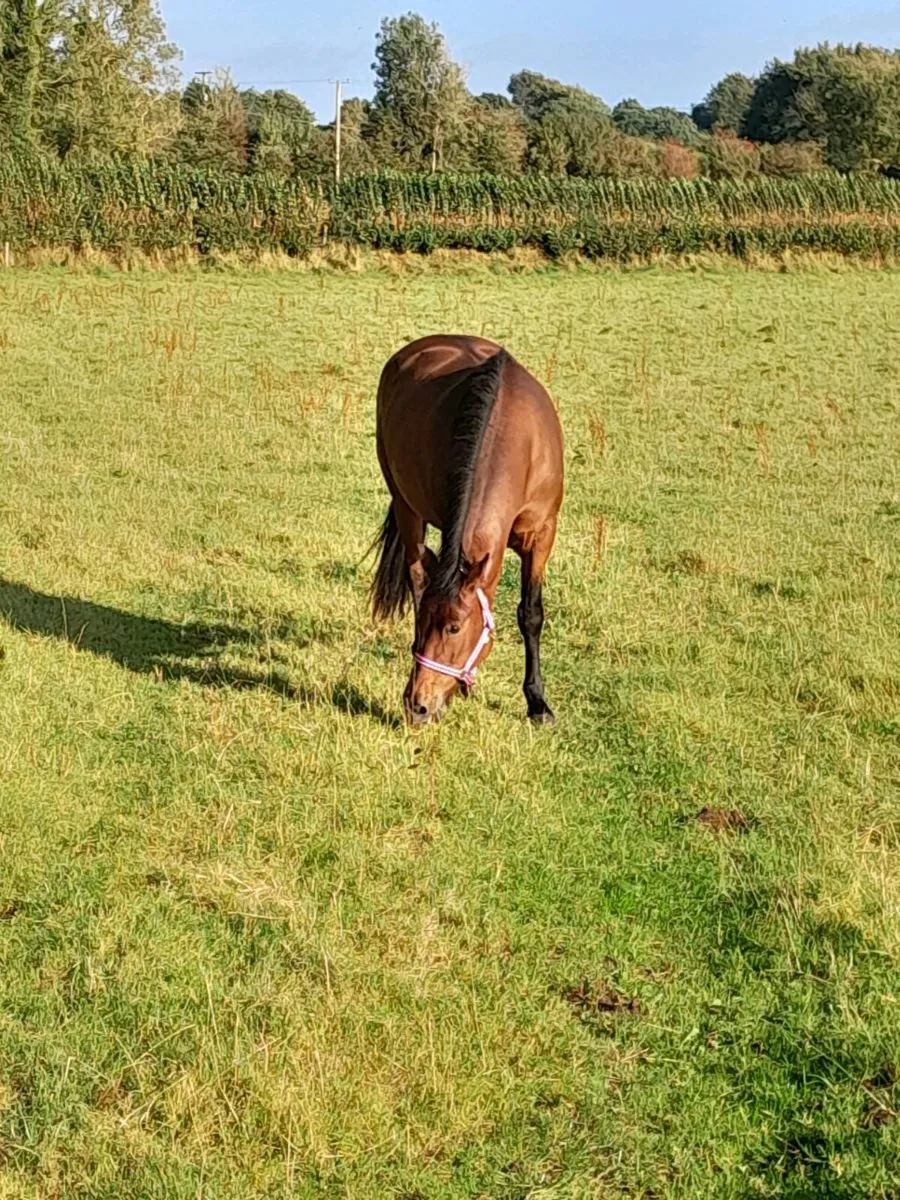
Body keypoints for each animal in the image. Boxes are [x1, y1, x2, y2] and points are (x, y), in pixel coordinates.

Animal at [371, 334, 564, 726]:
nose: (417, 705)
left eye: (455, 627)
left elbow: (531, 613)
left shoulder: (542, 535)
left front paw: (538, 704)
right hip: (405, 506)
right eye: (423, 623)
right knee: (416, 574)